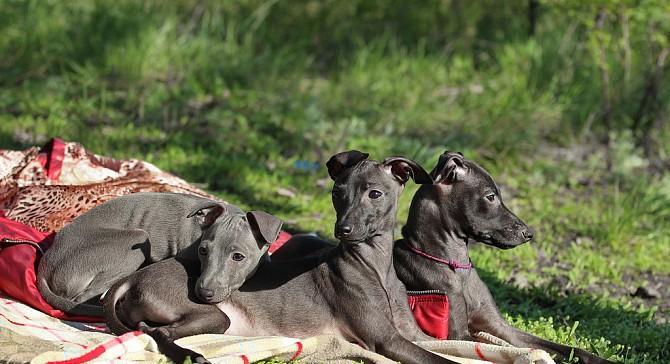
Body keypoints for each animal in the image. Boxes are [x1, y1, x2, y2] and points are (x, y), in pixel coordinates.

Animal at [37, 193, 284, 316]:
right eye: (203, 250)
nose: (203, 293)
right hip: (135, 242)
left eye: (238, 257)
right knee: (82, 299)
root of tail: (45, 264)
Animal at [105, 151, 460, 364]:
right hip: (215, 315)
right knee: (159, 333)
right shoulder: (384, 339)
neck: (376, 267)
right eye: (337, 193)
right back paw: (192, 356)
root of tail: (131, 279)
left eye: (375, 193)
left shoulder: (412, 334)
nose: (342, 229)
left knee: (147, 329)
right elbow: (444, 360)